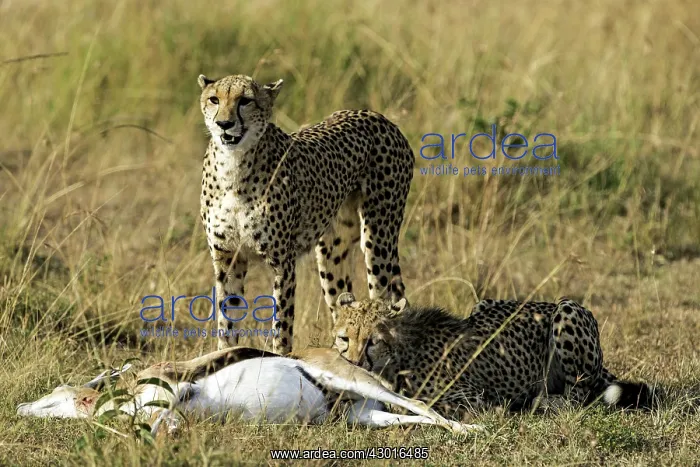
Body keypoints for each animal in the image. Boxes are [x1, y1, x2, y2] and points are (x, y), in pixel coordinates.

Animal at [197, 74, 414, 355]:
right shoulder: (228, 259)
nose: (224, 123)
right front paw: (225, 356)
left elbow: (282, 325)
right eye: (214, 99)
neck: (233, 167)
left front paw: (281, 358)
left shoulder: (283, 263)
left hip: (378, 240)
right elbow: (227, 322)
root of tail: (377, 116)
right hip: (332, 252)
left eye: (245, 100)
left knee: (382, 300)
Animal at [331, 292, 658, 420]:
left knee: (577, 398)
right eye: (344, 339)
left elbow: (424, 405)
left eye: (373, 341)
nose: (353, 364)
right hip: (482, 304)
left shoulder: (470, 398)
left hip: (568, 310)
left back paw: (538, 402)